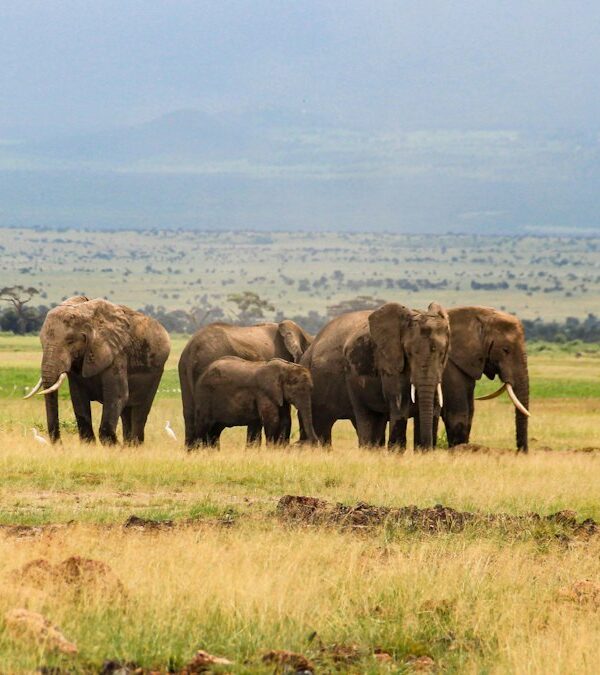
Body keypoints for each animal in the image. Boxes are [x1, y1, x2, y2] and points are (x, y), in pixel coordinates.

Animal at [25, 296, 170, 445]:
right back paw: (127, 446)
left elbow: (117, 395)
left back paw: (133, 445)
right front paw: (90, 445)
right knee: (126, 413)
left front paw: (113, 445)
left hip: (156, 371)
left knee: (140, 410)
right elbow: (78, 398)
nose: (61, 444)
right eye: (41, 342)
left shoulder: (116, 354)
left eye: (70, 341)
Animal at [300, 302, 450, 449]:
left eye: (442, 353)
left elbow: (435, 406)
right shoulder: (388, 361)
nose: (427, 446)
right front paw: (396, 452)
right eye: (408, 353)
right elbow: (399, 404)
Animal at [438, 306, 530, 452]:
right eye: (505, 350)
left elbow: (470, 412)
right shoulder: (449, 368)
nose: (521, 453)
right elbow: (458, 414)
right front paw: (458, 451)